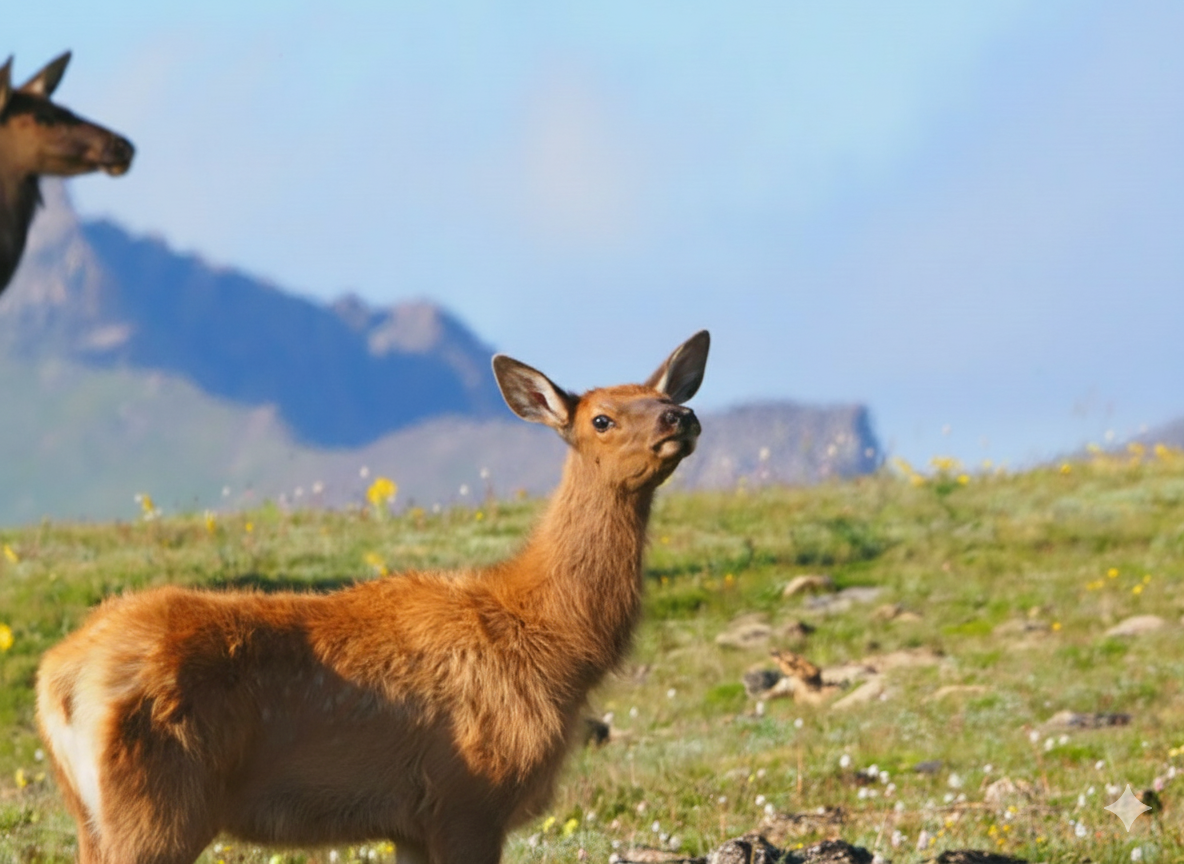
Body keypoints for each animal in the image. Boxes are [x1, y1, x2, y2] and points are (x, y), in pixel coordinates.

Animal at [36, 330, 710, 864]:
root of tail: (58, 679)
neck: (551, 648)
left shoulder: (409, 821)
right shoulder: (468, 794)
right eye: (602, 418)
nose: (681, 418)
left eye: (666, 398)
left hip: (93, 815)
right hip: (158, 805)